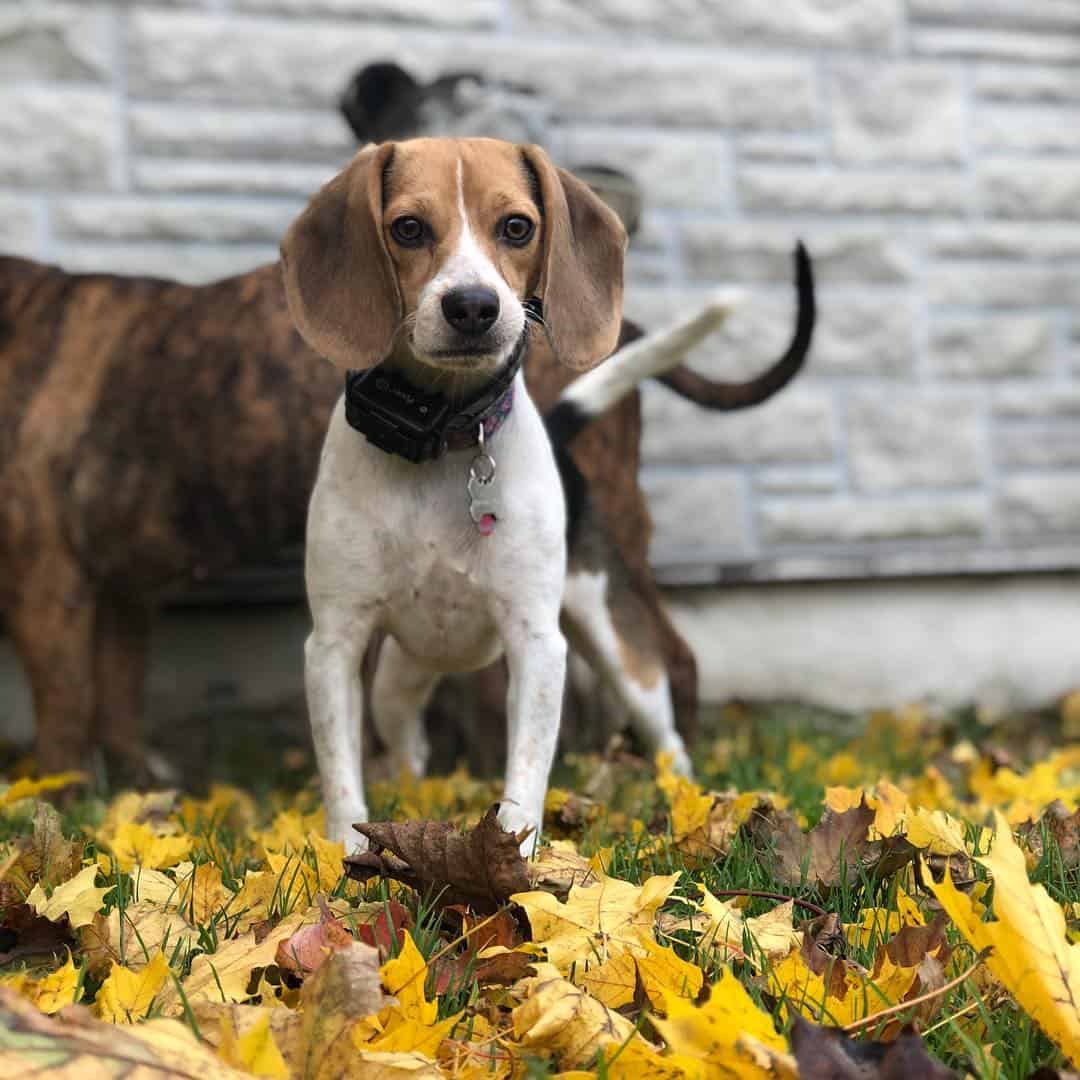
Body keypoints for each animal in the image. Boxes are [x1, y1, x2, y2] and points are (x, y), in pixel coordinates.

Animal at [280, 139, 699, 851]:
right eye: (408, 228)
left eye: (517, 228)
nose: (473, 305)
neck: (444, 441)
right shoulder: (333, 640)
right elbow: (340, 770)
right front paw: (350, 856)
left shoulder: (537, 641)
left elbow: (524, 772)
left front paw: (516, 857)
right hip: (399, 674)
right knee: (408, 745)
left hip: (610, 632)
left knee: (662, 726)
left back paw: (692, 798)